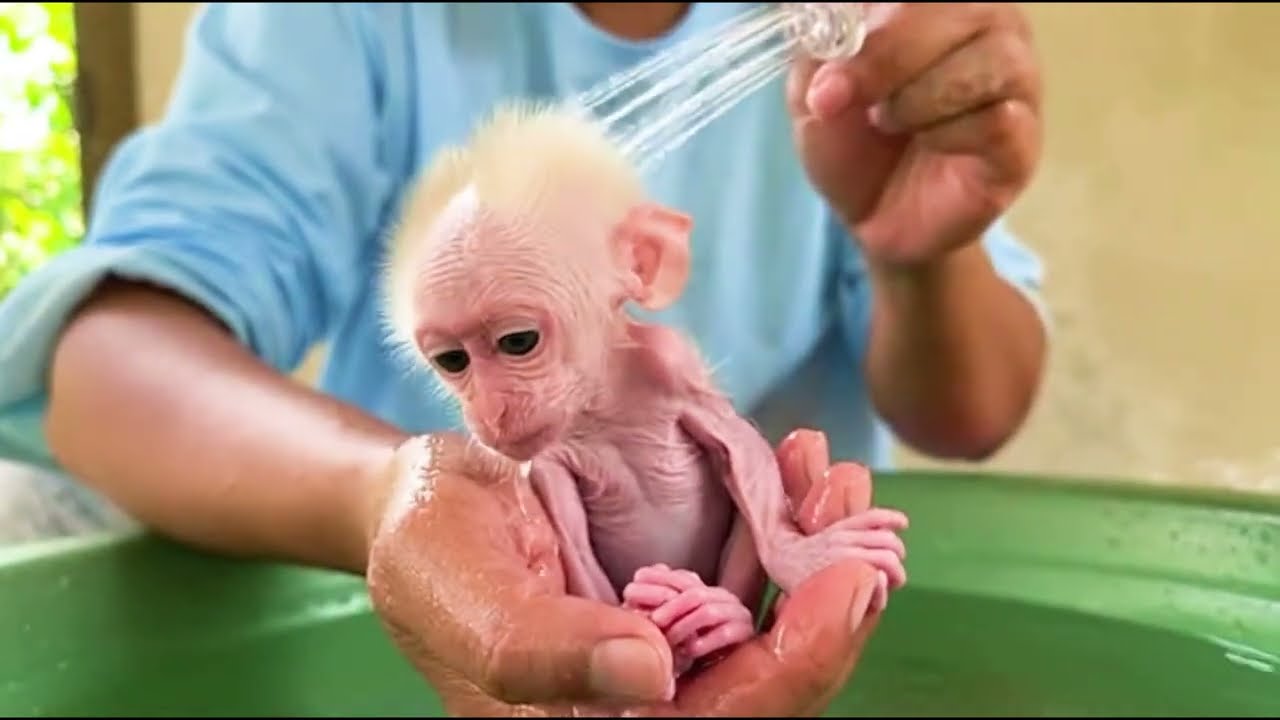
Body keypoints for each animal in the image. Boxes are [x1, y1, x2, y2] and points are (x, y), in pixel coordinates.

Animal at [382, 100, 908, 690]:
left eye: (518, 341)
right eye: (453, 361)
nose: (490, 411)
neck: (601, 402)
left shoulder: (670, 363)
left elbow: (742, 449)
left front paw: (802, 557)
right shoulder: (548, 456)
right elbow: (567, 527)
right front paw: (638, 623)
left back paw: (722, 621)